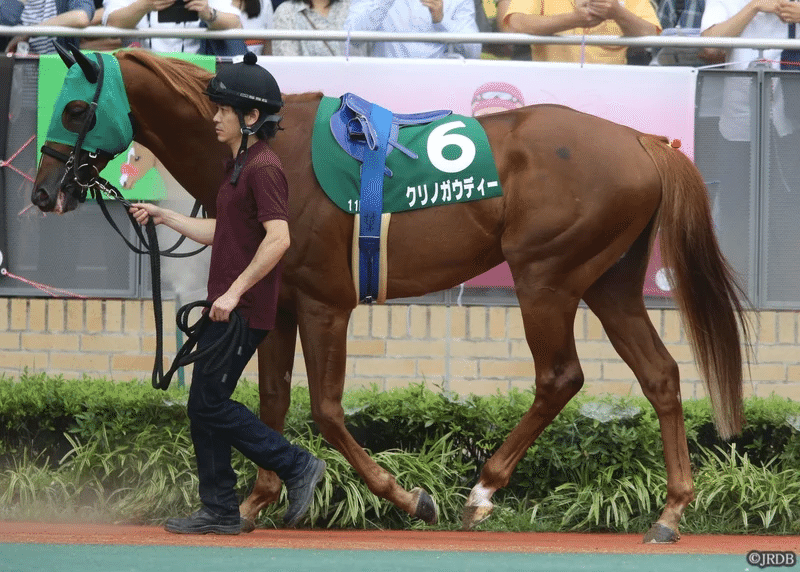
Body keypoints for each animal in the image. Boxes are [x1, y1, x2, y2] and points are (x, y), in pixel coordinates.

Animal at [31, 47, 750, 543]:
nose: (42, 193)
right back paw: (670, 511)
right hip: (610, 282)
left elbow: (324, 410)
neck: (272, 150)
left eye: (74, 108)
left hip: (546, 276)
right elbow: (269, 404)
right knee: (660, 375)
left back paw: (481, 492)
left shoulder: (326, 304)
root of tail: (645, 142)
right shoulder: (280, 303)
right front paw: (256, 499)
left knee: (560, 377)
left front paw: (404, 497)